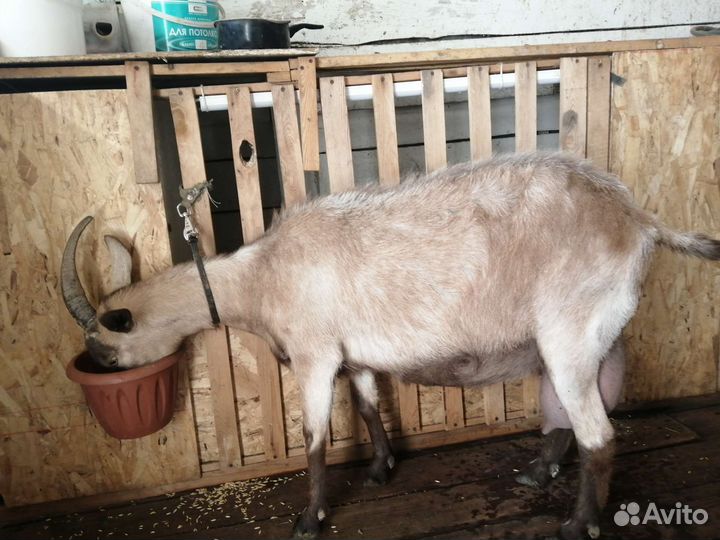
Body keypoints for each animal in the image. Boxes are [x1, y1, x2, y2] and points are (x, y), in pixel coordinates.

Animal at [61, 152, 720, 540]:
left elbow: (314, 439)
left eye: (105, 345)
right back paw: (538, 472)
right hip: (591, 335)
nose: (92, 368)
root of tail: (638, 220)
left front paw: (308, 519)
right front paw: (381, 468)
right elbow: (368, 405)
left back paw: (579, 524)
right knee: (575, 412)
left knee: (600, 435)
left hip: (570, 328)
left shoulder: (314, 353)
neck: (263, 274)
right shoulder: (351, 354)